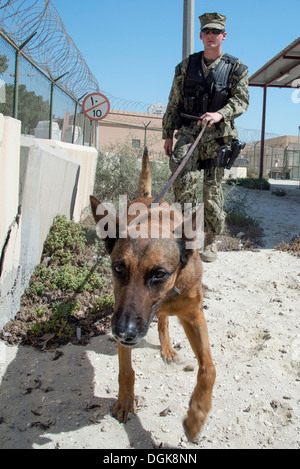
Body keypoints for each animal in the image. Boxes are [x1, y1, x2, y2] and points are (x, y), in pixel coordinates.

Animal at [89, 148, 216, 440]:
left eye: (159, 274)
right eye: (118, 268)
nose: (123, 332)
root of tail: (147, 196)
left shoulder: (194, 316)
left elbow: (208, 368)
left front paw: (197, 415)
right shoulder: (122, 312)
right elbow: (126, 371)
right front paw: (125, 402)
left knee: (165, 321)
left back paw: (167, 347)